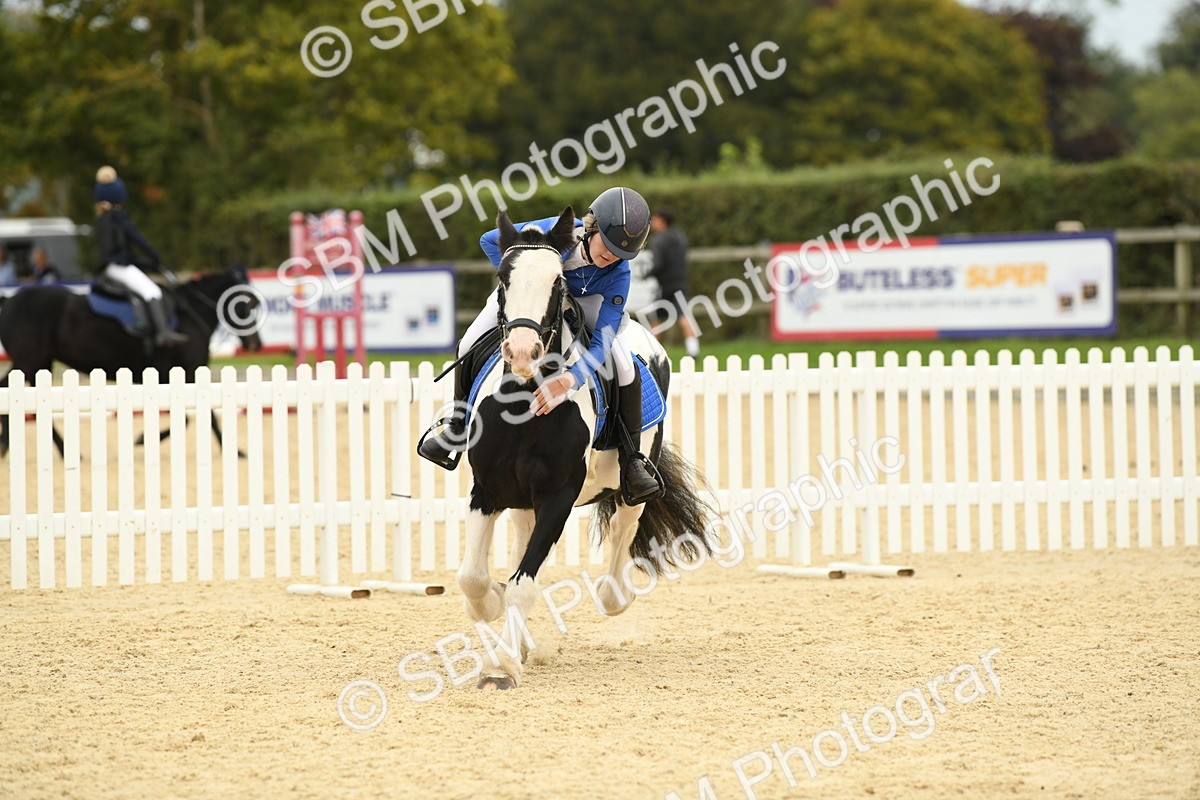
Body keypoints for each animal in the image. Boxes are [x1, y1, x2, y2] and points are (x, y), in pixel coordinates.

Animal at [0, 266, 263, 457]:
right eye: (246, 304)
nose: (255, 345)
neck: (190, 315)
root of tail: (9, 301)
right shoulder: (186, 372)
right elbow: (199, 416)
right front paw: (143, 439)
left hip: (36, 362)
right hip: (31, 360)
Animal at [454, 207, 715, 690]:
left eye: (558, 282)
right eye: (502, 278)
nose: (522, 352)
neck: (523, 403)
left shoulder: (558, 497)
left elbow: (522, 583)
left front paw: (502, 667)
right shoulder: (487, 491)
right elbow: (474, 580)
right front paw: (497, 622)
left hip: (630, 486)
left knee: (622, 533)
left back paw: (616, 596)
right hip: (521, 502)